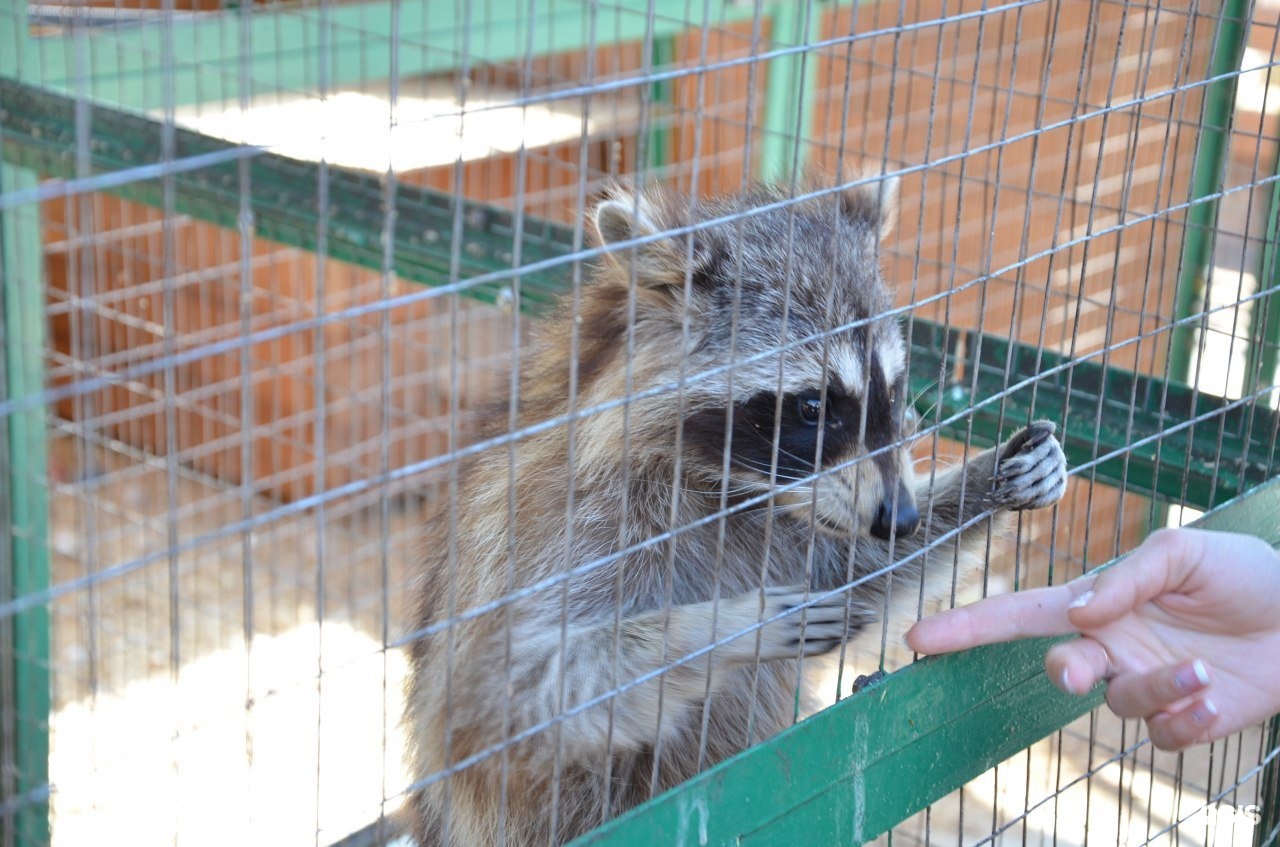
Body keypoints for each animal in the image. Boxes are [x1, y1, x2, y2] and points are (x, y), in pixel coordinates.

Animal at [407, 177, 1070, 844]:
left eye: (893, 390)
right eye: (813, 407)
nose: (901, 518)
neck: (725, 487)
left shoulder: (791, 517)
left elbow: (860, 568)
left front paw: (985, 483)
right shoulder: (571, 527)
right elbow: (504, 698)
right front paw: (721, 627)